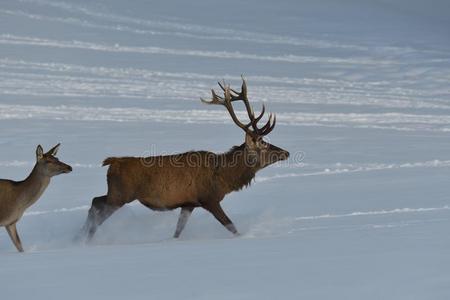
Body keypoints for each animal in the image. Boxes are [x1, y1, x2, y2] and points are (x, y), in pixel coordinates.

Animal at [80, 78, 290, 241]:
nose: (286, 152)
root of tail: (112, 162)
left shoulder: (188, 204)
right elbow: (231, 226)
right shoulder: (208, 199)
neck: (224, 177)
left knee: (95, 201)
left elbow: (178, 231)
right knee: (97, 209)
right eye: (263, 143)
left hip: (115, 194)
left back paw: (79, 238)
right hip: (120, 195)